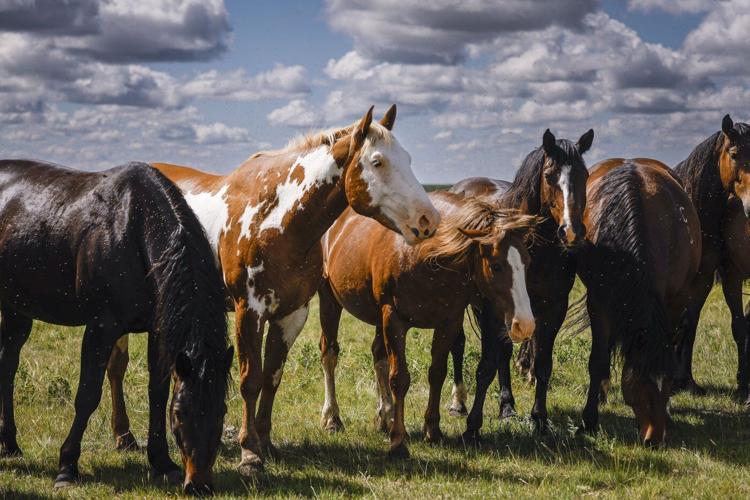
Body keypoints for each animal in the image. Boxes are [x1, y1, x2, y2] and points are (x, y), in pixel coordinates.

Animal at [0, 160, 232, 495]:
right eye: (180, 413)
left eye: (221, 411)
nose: (199, 485)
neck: (133, 230)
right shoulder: (101, 327)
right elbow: (87, 394)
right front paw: (67, 467)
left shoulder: (158, 331)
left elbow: (157, 390)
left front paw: (163, 463)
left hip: (17, 308)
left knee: (8, 364)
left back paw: (9, 444)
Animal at [104, 105, 440, 474]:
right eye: (378, 162)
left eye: (407, 159)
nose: (428, 220)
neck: (276, 220)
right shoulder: (248, 312)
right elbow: (250, 380)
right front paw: (249, 453)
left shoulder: (290, 315)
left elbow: (272, 377)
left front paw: (265, 442)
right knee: (116, 367)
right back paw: (123, 436)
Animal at [317, 191, 537, 455]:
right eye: (496, 266)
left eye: (527, 262)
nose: (525, 324)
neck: (423, 255)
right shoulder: (394, 319)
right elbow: (399, 378)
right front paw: (398, 441)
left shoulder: (448, 322)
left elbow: (437, 373)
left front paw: (432, 430)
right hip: (329, 299)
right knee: (330, 353)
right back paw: (332, 418)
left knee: (378, 356)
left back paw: (385, 415)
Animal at [448, 128, 594, 437]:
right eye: (549, 175)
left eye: (584, 175)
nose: (571, 232)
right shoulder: (492, 309)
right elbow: (487, 365)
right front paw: (475, 424)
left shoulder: (554, 308)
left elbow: (543, 364)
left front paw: (539, 418)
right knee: (460, 344)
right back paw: (460, 403)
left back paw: (507, 406)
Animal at [575, 159, 700, 444]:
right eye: (640, 382)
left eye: (667, 381)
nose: (654, 439)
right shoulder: (599, 302)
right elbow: (597, 360)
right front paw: (589, 421)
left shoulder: (674, 301)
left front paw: (669, 415)